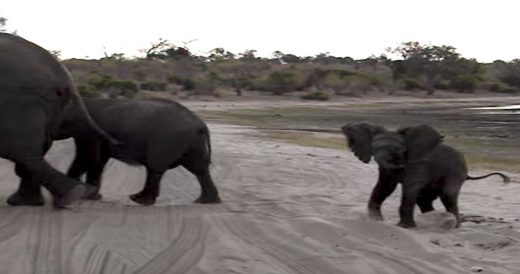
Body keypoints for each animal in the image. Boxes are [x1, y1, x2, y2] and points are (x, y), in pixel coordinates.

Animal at [47, 97, 219, 206]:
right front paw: (92, 196)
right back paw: (206, 201)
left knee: (155, 167)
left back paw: (139, 200)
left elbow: (86, 158)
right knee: (200, 169)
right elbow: (98, 160)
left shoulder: (88, 132)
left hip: (169, 140)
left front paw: (81, 195)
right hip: (192, 143)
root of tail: (200, 124)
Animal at [342, 123, 508, 228]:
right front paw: (376, 221)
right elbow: (385, 187)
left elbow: (409, 187)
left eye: (399, 150)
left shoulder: (418, 163)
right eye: (374, 149)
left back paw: (454, 226)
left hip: (456, 171)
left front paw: (404, 227)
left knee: (447, 195)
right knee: (424, 199)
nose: (399, 166)